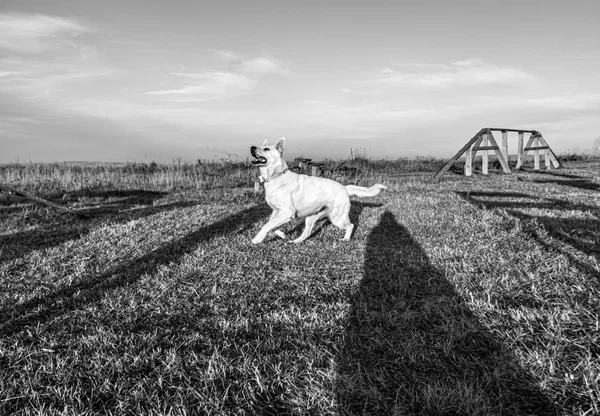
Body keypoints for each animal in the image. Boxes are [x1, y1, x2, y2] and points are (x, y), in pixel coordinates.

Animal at [248, 138, 384, 244]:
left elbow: (267, 225)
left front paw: (257, 239)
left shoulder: (287, 212)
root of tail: (344, 187)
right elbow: (271, 225)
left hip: (337, 218)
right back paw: (295, 241)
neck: (276, 176)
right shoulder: (276, 211)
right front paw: (282, 234)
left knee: (350, 225)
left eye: (266, 149)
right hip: (312, 216)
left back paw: (346, 239)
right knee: (307, 233)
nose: (252, 147)